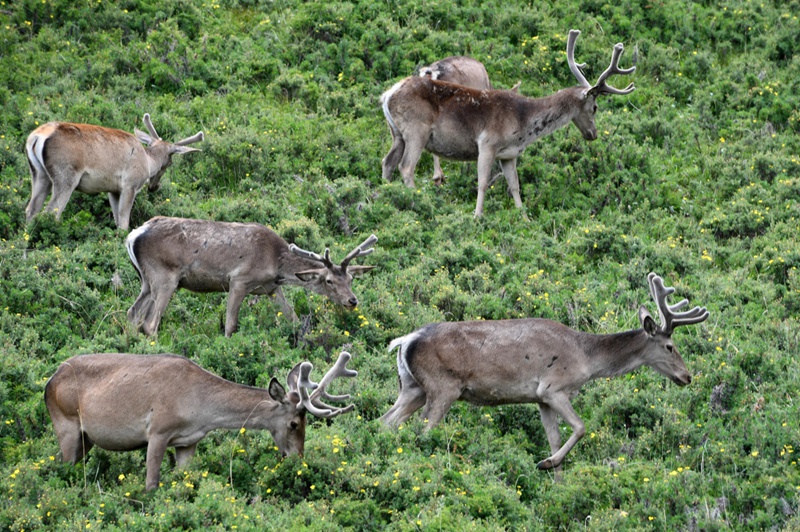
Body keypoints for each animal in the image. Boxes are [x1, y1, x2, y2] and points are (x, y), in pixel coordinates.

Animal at [25, 113, 204, 230]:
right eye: (169, 163)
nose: (154, 187)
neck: (147, 161)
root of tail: (36, 137)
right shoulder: (130, 184)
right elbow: (124, 222)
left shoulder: (113, 190)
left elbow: (117, 221)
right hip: (66, 176)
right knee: (51, 212)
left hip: (39, 174)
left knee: (31, 209)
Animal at [44, 350, 357, 491]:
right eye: (294, 424)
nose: (298, 460)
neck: (199, 411)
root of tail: (49, 382)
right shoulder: (158, 431)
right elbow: (151, 484)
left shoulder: (188, 442)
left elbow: (184, 479)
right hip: (66, 423)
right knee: (63, 466)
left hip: (85, 438)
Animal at [125, 216, 377, 337]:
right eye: (329, 281)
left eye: (351, 279)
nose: (352, 300)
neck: (275, 263)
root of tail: (133, 235)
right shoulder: (238, 280)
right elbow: (230, 324)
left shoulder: (272, 288)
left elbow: (293, 317)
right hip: (165, 276)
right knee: (149, 322)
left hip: (146, 280)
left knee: (133, 315)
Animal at [380, 29, 635, 218]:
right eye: (595, 107)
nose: (593, 133)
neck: (524, 123)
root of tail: (387, 95)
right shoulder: (487, 143)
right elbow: (483, 182)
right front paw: (477, 216)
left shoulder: (509, 154)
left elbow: (514, 185)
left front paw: (524, 218)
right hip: (417, 130)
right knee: (406, 167)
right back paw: (420, 202)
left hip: (397, 133)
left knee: (387, 162)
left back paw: (385, 198)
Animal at [380, 273, 708, 474]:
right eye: (670, 346)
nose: (687, 376)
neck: (586, 358)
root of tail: (406, 340)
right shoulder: (553, 388)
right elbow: (580, 427)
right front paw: (546, 463)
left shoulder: (540, 400)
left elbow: (554, 437)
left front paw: (556, 477)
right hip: (442, 387)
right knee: (422, 429)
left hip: (412, 387)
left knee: (386, 422)